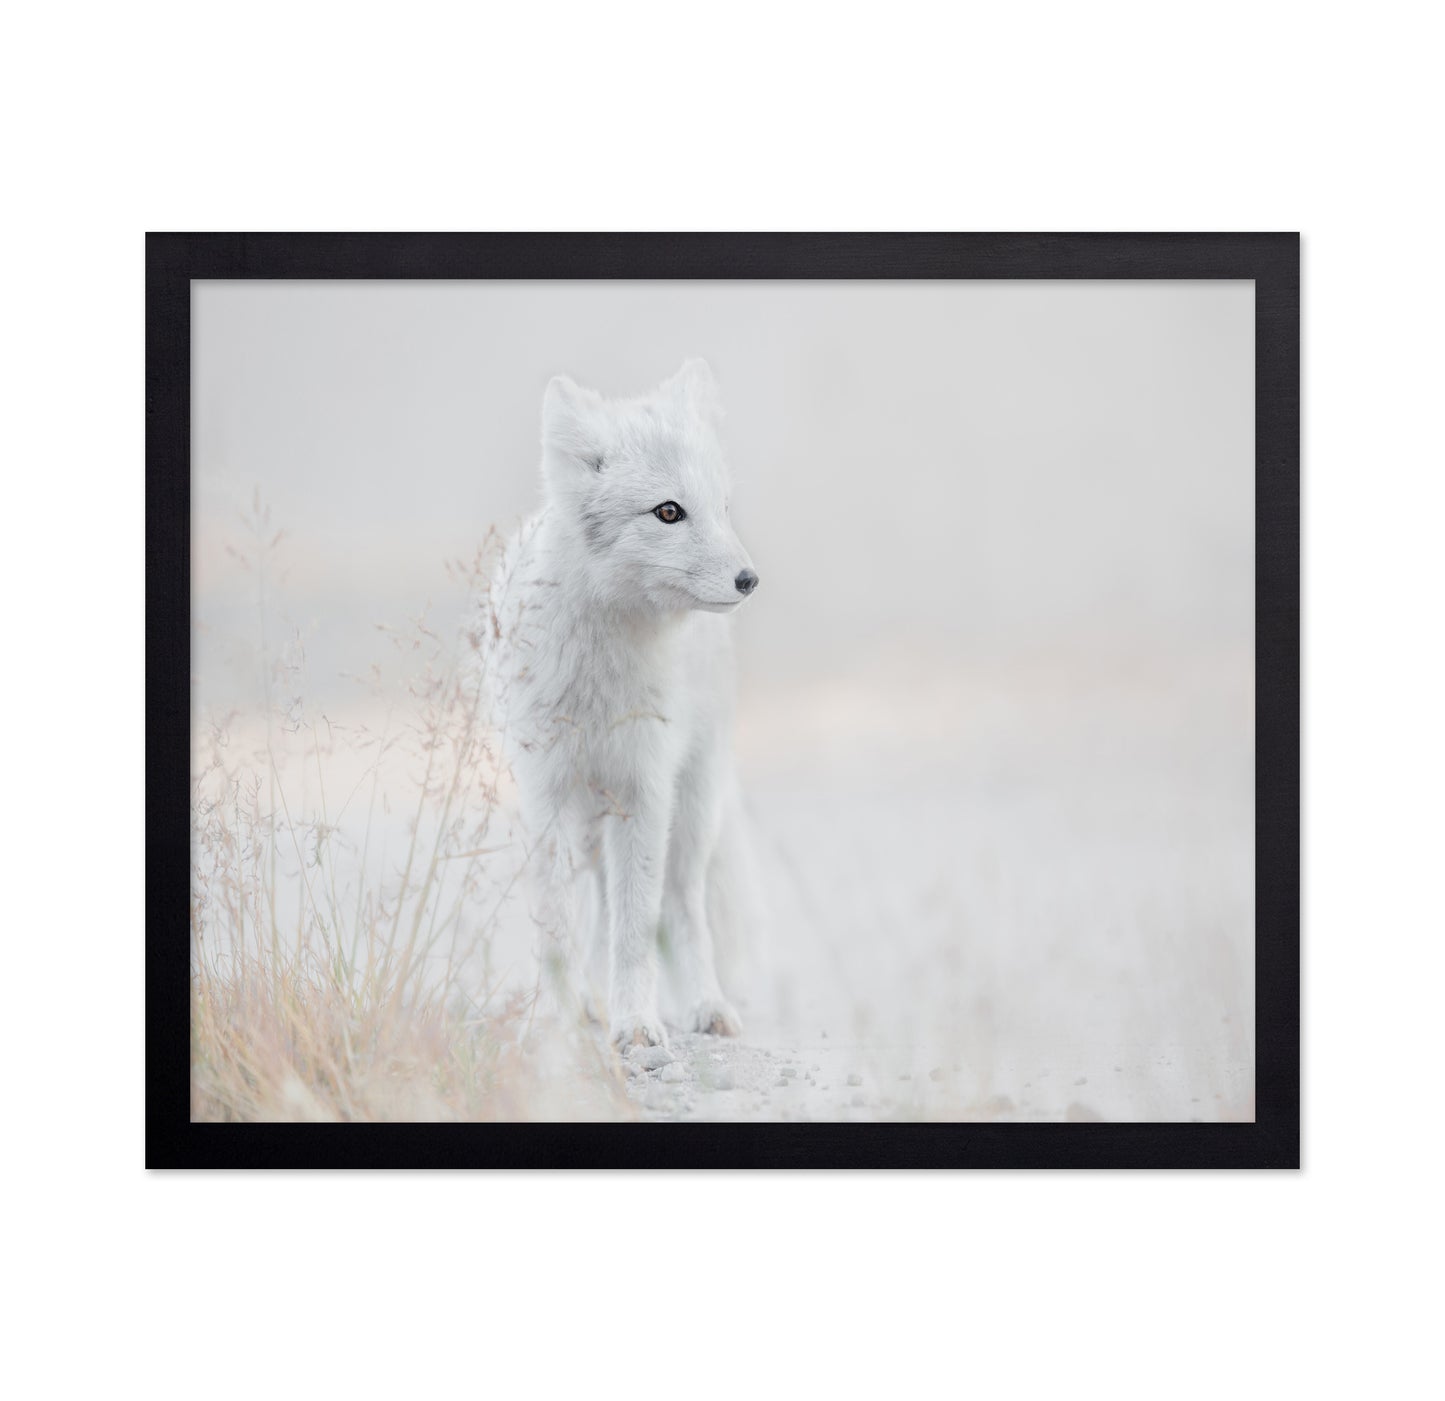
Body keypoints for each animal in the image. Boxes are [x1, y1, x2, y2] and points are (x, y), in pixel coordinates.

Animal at [484, 359, 760, 1051]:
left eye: (723, 507)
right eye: (668, 511)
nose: (749, 580)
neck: (599, 683)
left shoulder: (643, 789)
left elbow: (637, 931)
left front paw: (635, 1024)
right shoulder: (549, 795)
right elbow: (557, 927)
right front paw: (561, 1019)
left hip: (687, 815)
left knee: (680, 907)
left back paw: (703, 1006)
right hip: (592, 826)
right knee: (598, 911)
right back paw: (592, 1003)